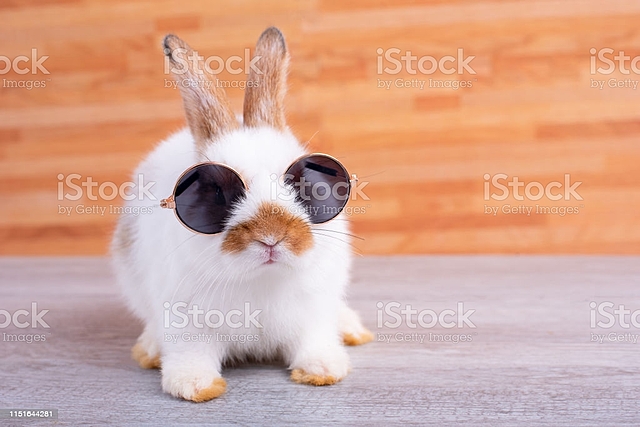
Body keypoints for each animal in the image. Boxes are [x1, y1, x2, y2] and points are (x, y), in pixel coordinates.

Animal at [111, 27, 373, 402]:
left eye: (304, 185)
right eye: (215, 192)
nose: (272, 237)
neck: (261, 280)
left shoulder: (312, 312)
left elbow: (313, 342)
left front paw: (323, 371)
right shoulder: (185, 321)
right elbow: (191, 355)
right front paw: (196, 386)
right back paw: (149, 350)